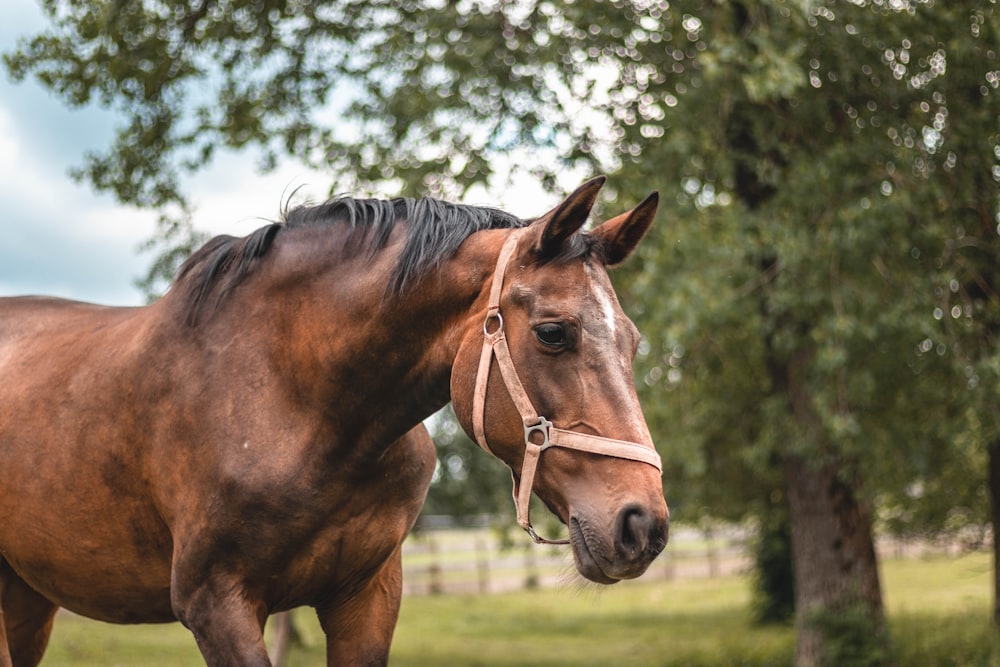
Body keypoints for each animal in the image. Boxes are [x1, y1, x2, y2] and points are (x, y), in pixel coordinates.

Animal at [1, 175, 672, 664]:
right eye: (554, 333)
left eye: (634, 342)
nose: (642, 525)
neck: (298, 401)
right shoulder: (216, 605)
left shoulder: (367, 597)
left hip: (25, 596)